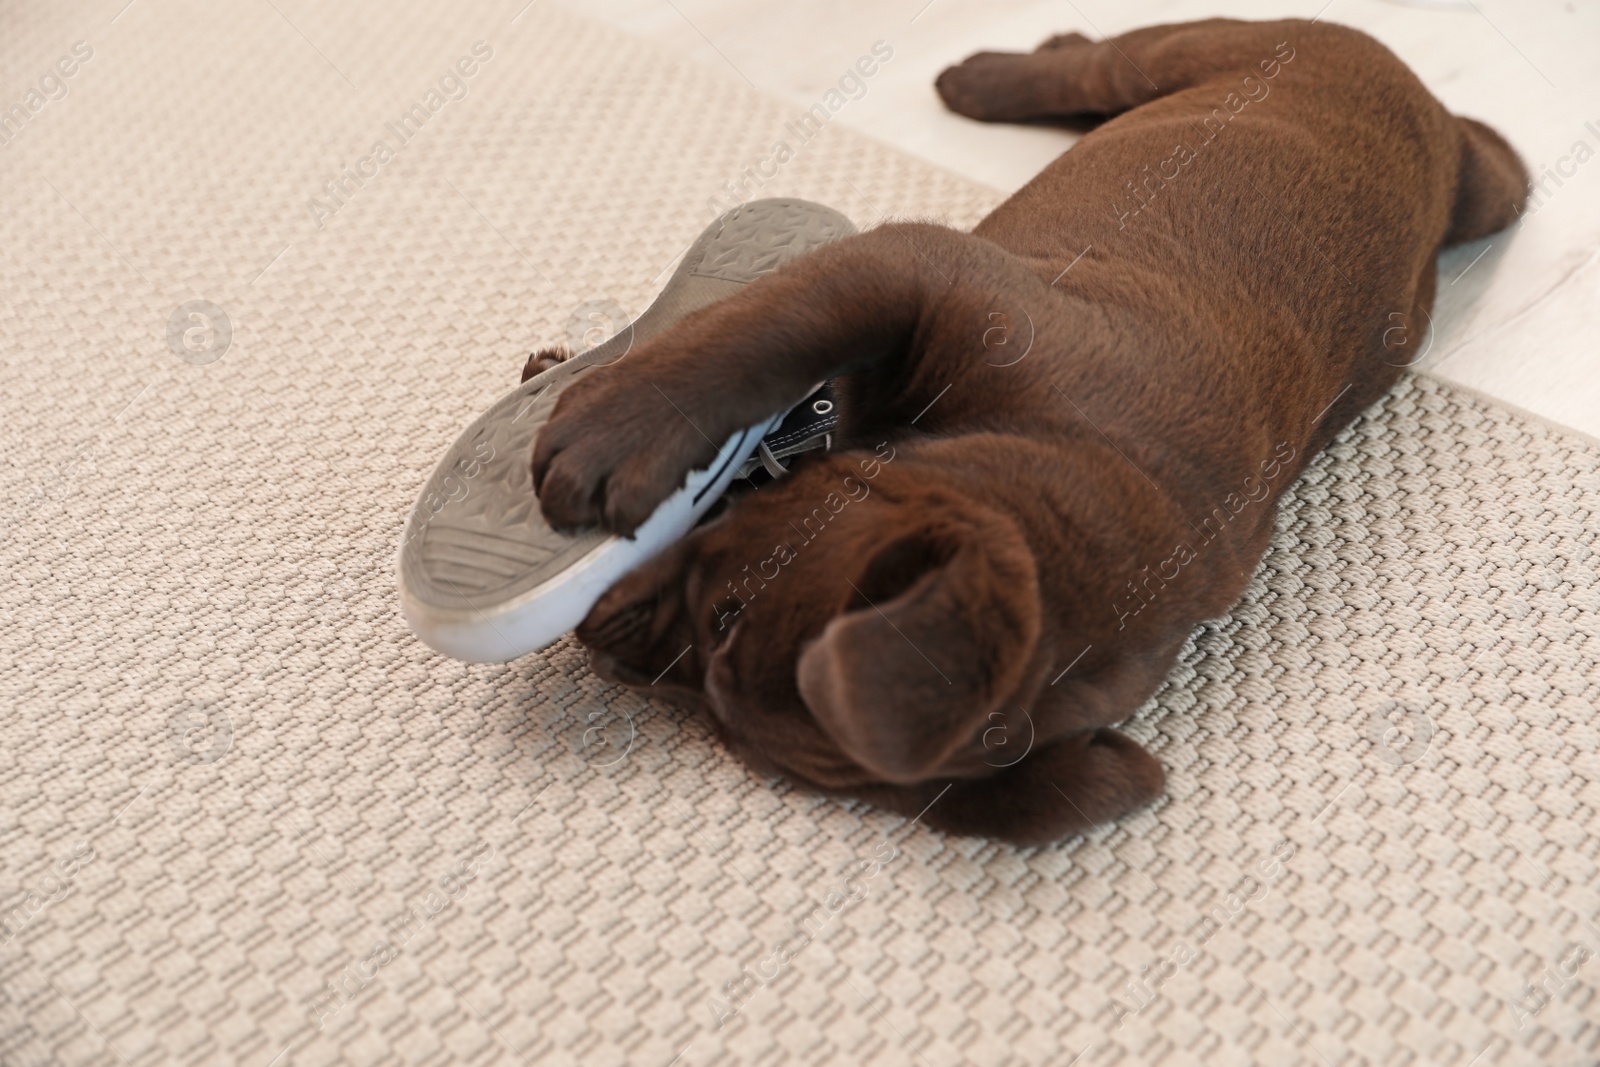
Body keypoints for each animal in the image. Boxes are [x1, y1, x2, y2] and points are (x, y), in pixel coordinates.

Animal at [524, 20, 1523, 844]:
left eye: (724, 634)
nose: (602, 642)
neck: (1065, 451)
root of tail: (1431, 111)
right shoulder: (919, 273)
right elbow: (762, 334)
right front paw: (610, 431)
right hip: (1197, 55)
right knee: (1092, 66)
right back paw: (990, 72)